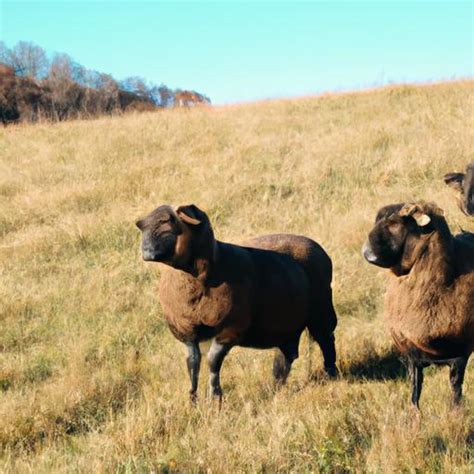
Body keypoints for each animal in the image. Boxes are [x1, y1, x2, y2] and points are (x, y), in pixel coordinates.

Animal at [135, 202, 338, 402]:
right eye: (142, 226)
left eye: (166, 221)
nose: (146, 250)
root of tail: (318, 248)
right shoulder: (187, 331)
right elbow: (192, 363)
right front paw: (192, 398)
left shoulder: (230, 329)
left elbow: (212, 361)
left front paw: (215, 397)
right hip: (287, 324)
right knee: (286, 355)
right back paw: (276, 387)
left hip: (321, 311)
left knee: (326, 340)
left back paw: (331, 374)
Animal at [362, 203, 474, 408]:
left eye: (394, 223)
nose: (367, 253)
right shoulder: (412, 356)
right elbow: (415, 390)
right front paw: (414, 413)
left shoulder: (459, 354)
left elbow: (456, 388)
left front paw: (456, 410)